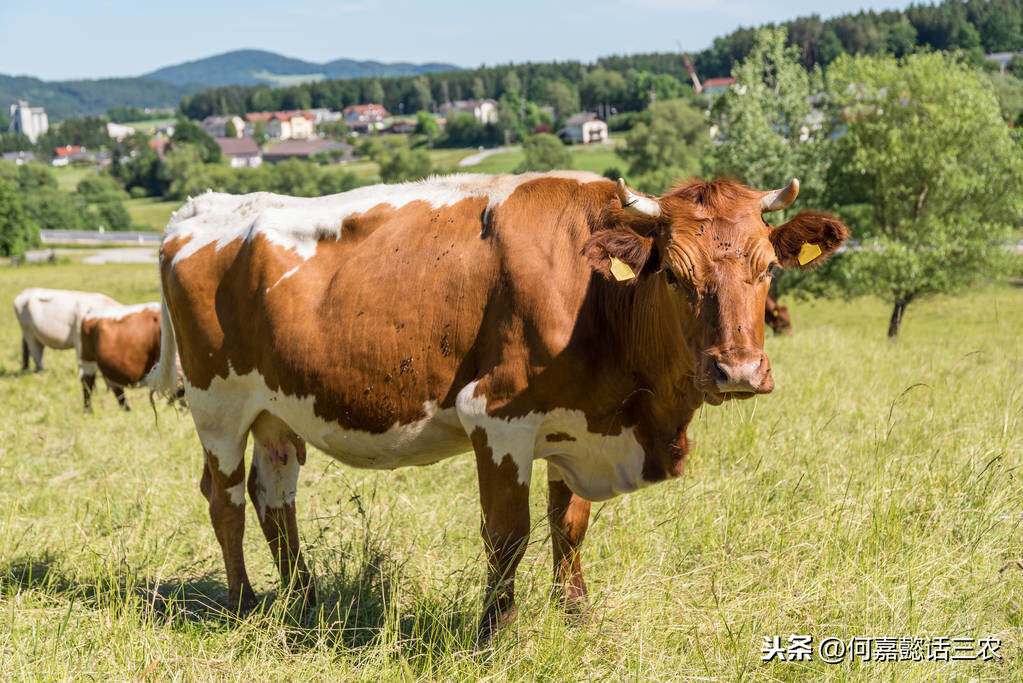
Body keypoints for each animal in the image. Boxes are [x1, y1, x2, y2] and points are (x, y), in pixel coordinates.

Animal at [146, 171, 847, 642]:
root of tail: (203, 210)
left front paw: (576, 616)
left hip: (279, 410)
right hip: (218, 405)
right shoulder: (497, 415)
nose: (738, 370)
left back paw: (305, 599)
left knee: (274, 496)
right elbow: (507, 533)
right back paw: (244, 603)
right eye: (673, 274)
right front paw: (497, 631)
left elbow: (569, 525)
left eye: (767, 269)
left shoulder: (579, 426)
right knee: (226, 499)